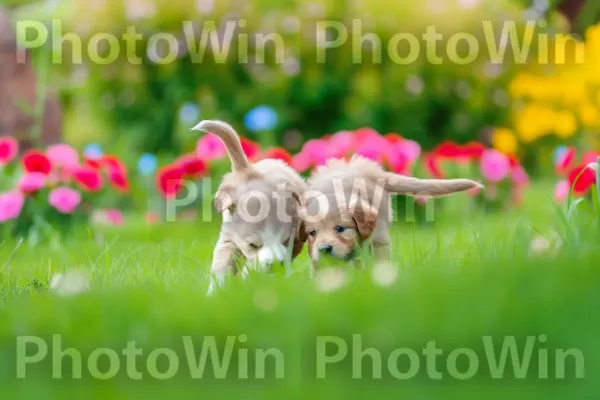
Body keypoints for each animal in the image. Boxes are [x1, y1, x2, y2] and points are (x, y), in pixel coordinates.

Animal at [192, 119, 308, 294]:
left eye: (286, 241)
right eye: (253, 245)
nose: (276, 265)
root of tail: (249, 171)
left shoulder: (295, 242)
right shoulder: (228, 240)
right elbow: (222, 268)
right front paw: (215, 294)